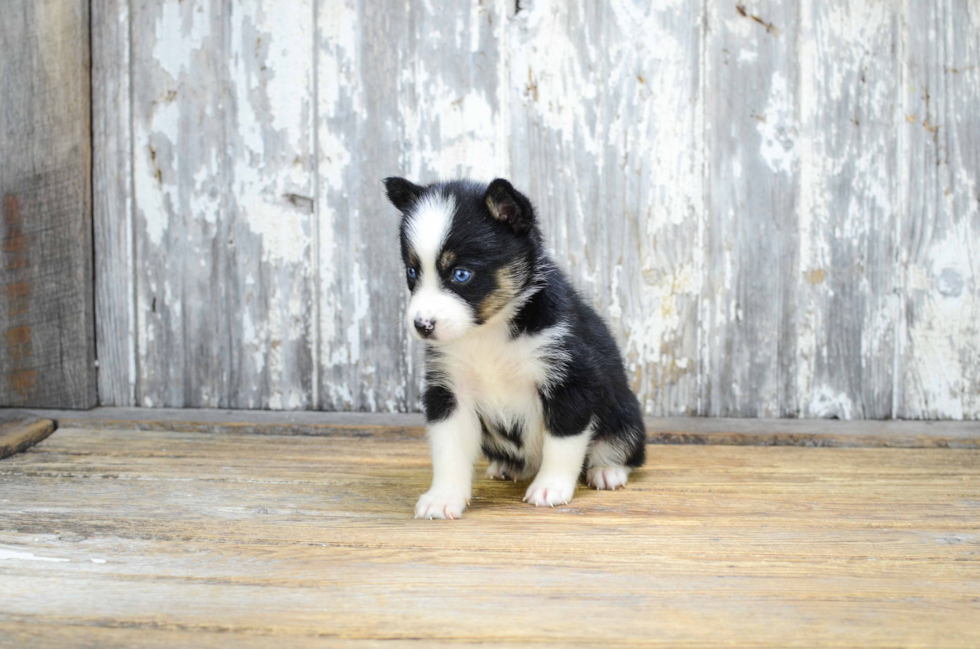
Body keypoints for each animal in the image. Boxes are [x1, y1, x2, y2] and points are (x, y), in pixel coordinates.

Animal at [386, 175, 648, 520]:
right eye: (412, 272)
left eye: (461, 274)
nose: (422, 326)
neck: (488, 332)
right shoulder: (449, 393)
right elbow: (448, 450)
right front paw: (443, 497)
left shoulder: (570, 381)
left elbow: (562, 443)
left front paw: (550, 488)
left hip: (625, 414)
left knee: (624, 448)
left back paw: (607, 470)